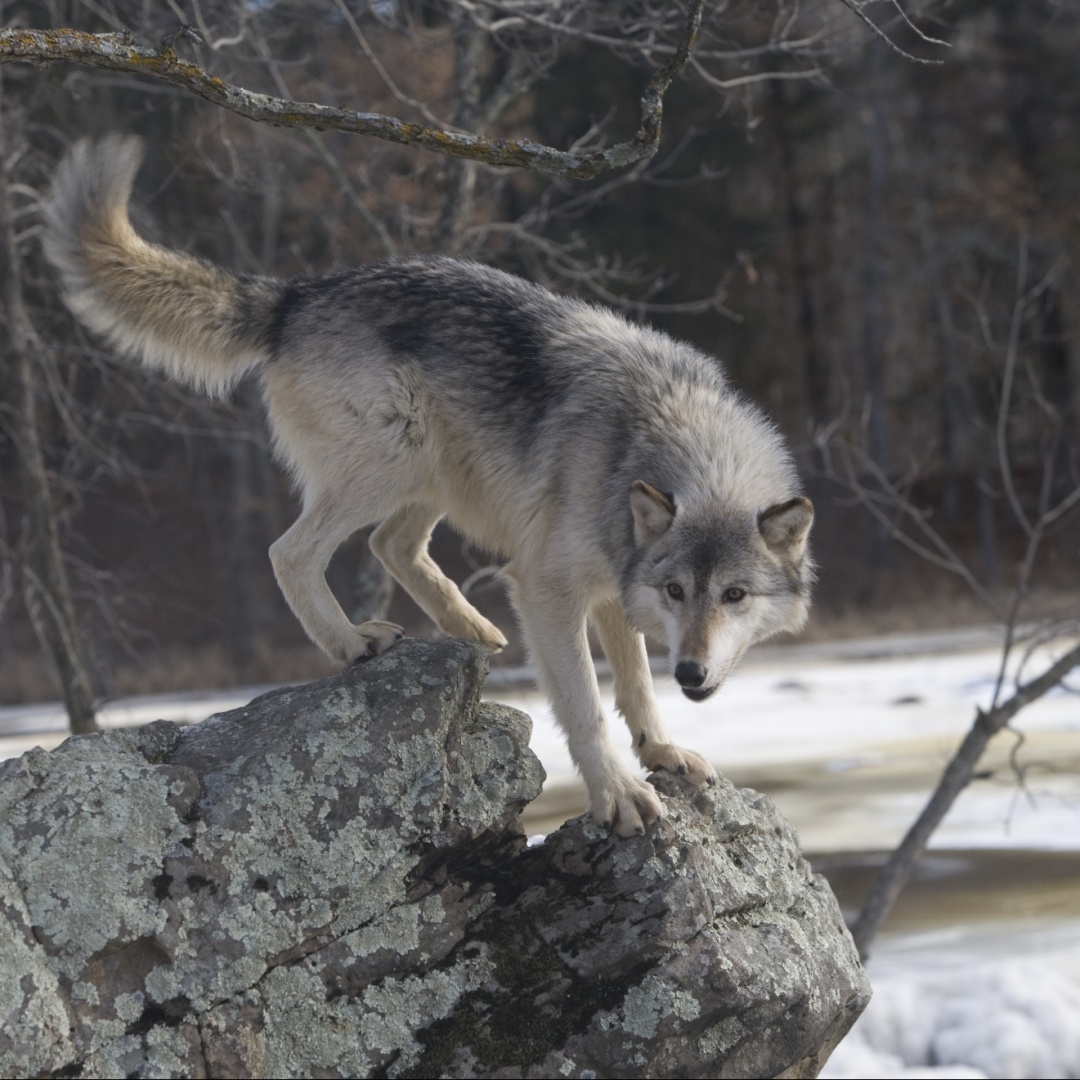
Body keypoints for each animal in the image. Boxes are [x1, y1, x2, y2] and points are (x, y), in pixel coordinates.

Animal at [46, 135, 812, 838]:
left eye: (733, 596)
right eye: (679, 591)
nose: (692, 673)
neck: (657, 435)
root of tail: (300, 294)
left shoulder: (612, 587)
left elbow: (635, 690)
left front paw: (663, 753)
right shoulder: (548, 587)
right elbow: (588, 706)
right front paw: (618, 794)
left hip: (431, 478)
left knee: (391, 546)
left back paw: (469, 628)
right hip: (393, 460)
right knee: (291, 552)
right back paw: (353, 643)